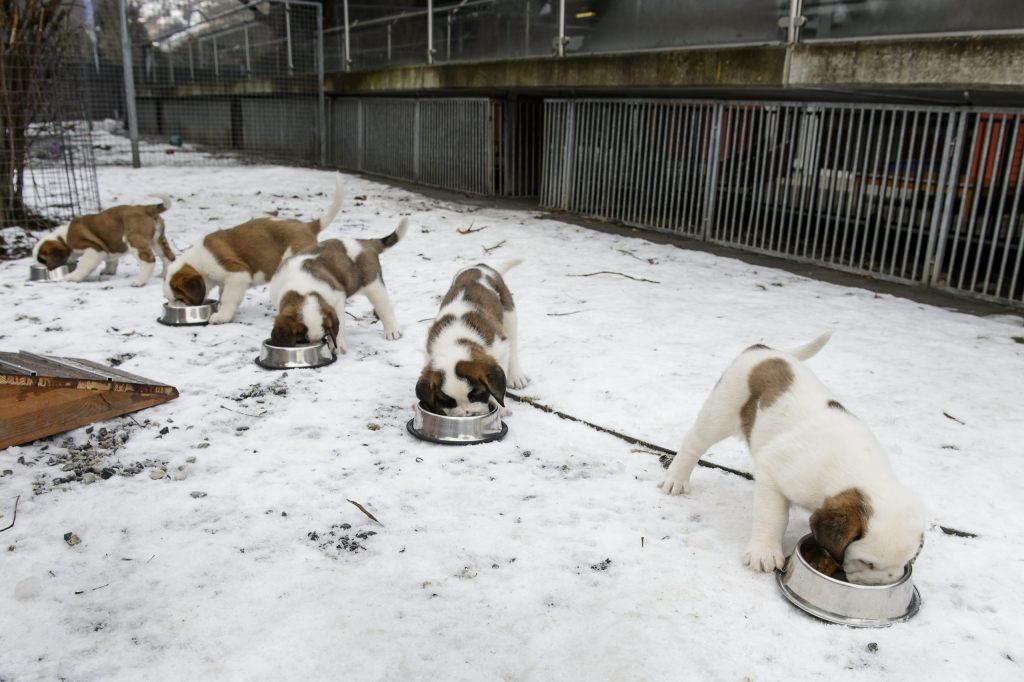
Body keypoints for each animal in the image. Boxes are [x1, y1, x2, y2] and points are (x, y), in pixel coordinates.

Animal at [32, 193, 174, 284]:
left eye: (43, 260)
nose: (44, 268)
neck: (63, 239)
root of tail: (146, 208)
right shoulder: (106, 247)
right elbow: (111, 260)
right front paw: (108, 271)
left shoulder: (94, 250)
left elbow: (84, 264)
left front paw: (73, 277)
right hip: (158, 240)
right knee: (168, 257)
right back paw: (164, 275)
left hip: (135, 240)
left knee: (148, 261)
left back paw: (139, 282)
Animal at [163, 175, 344, 323]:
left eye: (180, 299)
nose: (174, 307)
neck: (198, 261)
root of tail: (307, 226)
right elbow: (223, 294)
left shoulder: (237, 274)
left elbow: (227, 297)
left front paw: (222, 316)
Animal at [270, 216, 409, 350]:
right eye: (301, 341)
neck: (302, 289)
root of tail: (365, 242)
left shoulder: (337, 299)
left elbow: (339, 326)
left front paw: (338, 346)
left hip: (373, 285)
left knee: (384, 307)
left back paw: (392, 330)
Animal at [415, 260, 532, 417]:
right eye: (448, 401)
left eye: (476, 395)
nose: (469, 414)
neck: (457, 339)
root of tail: (480, 266)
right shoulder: (430, 351)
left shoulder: (500, 348)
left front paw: (499, 405)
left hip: (509, 314)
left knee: (513, 345)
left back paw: (516, 375)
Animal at [659, 333, 925, 585]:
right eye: (867, 563)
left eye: (909, 560)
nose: (883, 583)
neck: (862, 473)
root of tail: (765, 350)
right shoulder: (772, 471)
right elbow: (773, 517)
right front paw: (764, 553)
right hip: (721, 409)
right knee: (694, 442)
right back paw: (676, 479)